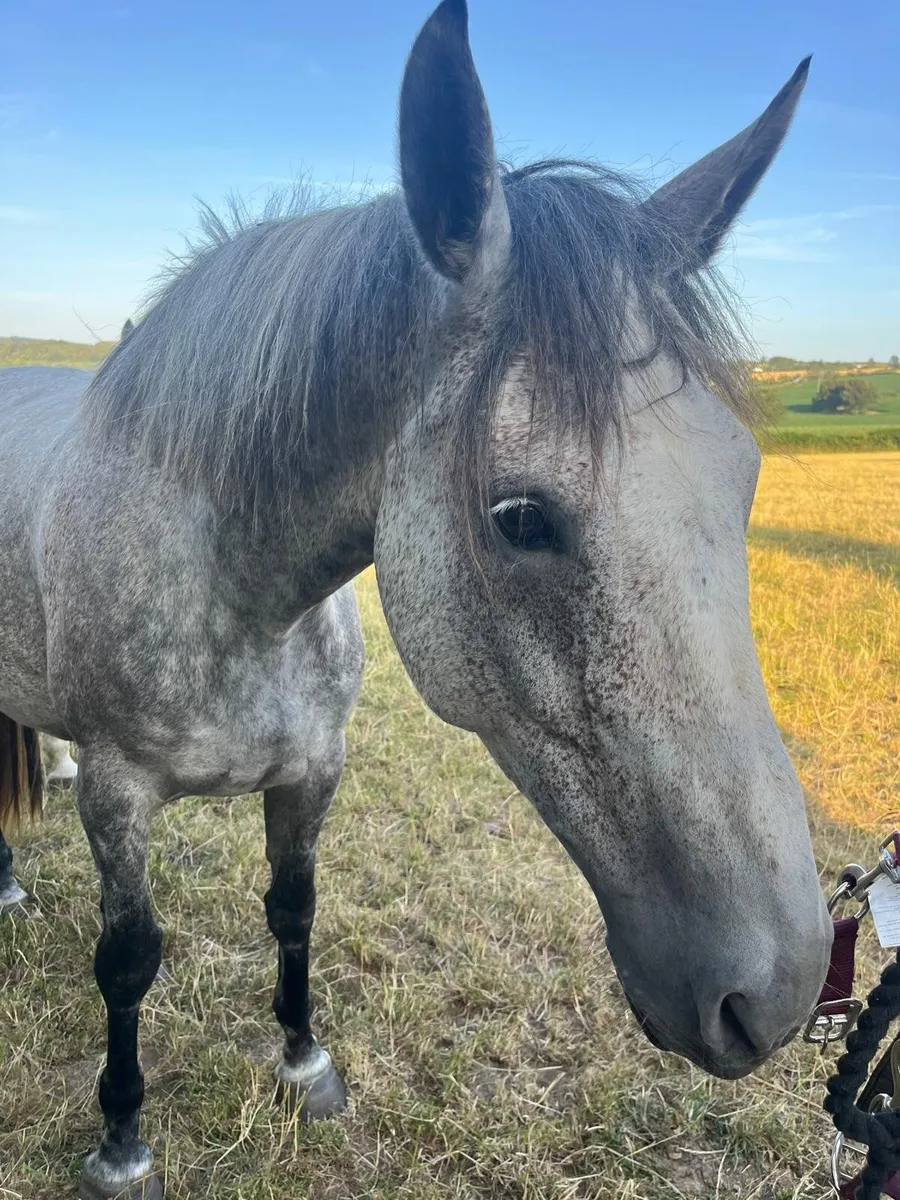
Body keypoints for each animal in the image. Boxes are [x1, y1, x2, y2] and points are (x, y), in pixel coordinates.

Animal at [0, 2, 830, 1196]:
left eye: (743, 478)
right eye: (519, 516)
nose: (779, 991)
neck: (235, 593)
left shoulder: (314, 771)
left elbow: (292, 910)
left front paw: (304, 1064)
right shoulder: (116, 799)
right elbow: (128, 963)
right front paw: (121, 1141)